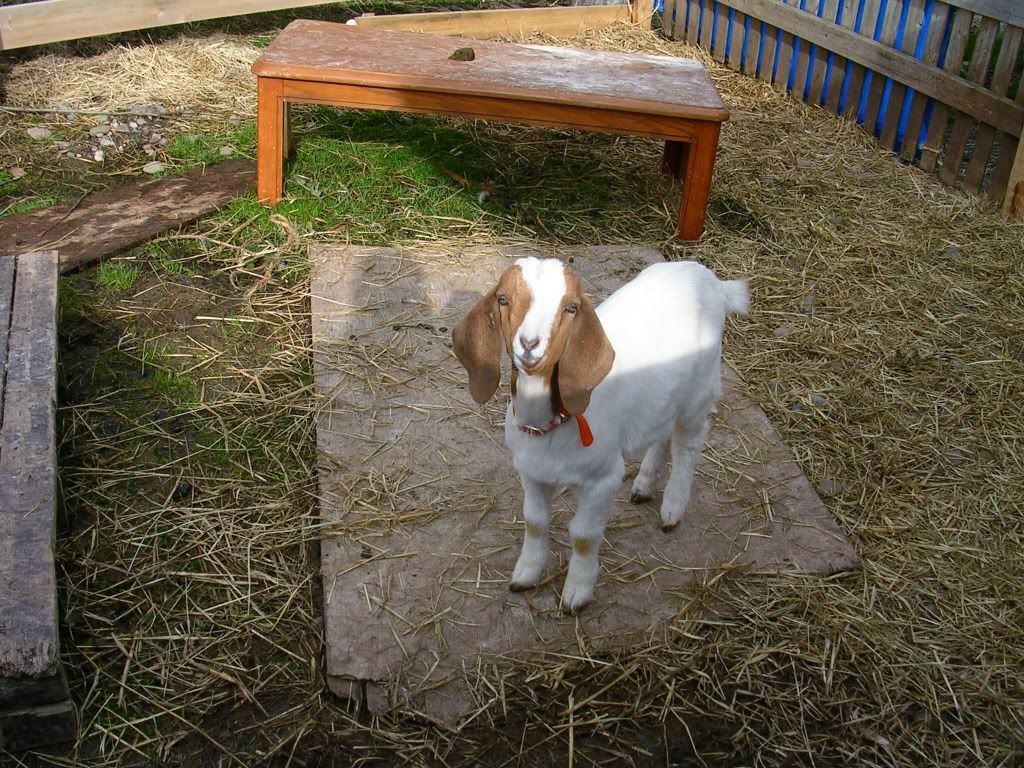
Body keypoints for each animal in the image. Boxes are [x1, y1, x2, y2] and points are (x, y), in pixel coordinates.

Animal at [453, 257, 749, 611]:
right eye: (503, 299)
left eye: (571, 307)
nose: (529, 344)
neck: (551, 423)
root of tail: (713, 282)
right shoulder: (531, 472)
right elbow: (534, 522)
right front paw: (525, 574)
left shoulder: (603, 479)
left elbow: (583, 535)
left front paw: (576, 593)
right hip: (665, 397)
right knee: (662, 433)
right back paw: (645, 484)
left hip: (699, 392)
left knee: (687, 447)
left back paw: (672, 509)